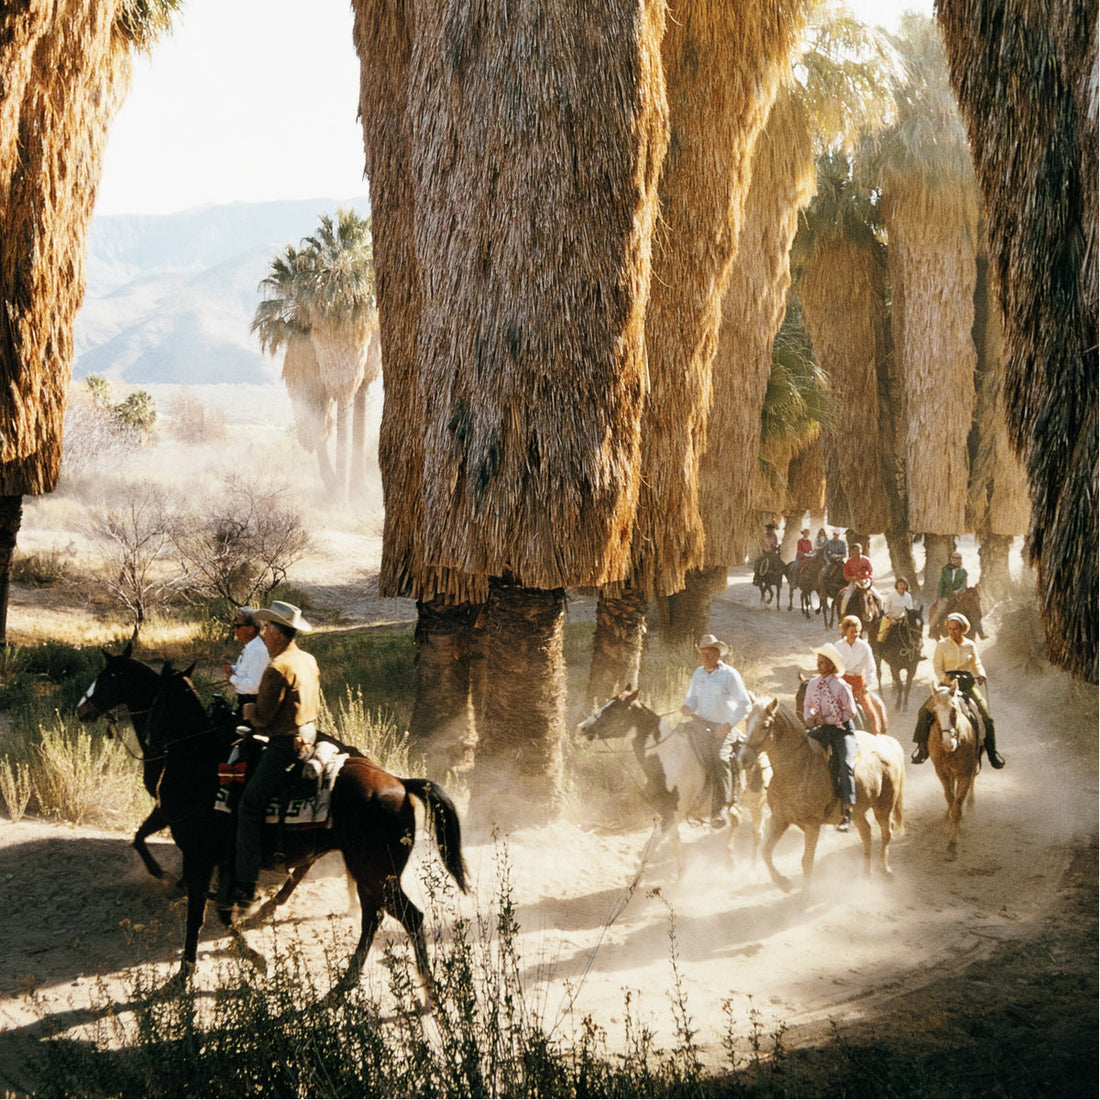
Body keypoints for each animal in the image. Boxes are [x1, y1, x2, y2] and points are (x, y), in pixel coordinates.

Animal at [77, 646, 468, 994]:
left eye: (106, 676)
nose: (82, 710)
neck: (198, 759)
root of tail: (400, 783)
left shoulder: (198, 852)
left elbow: (197, 910)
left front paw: (188, 969)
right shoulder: (223, 857)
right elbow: (217, 907)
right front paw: (250, 954)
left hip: (377, 871)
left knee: (407, 917)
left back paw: (425, 989)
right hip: (369, 870)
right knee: (371, 915)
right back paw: (341, 980)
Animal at [576, 690, 774, 880]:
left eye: (614, 710)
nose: (582, 727)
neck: (668, 757)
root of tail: (758, 750)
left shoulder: (672, 814)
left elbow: (650, 848)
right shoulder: (666, 812)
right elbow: (675, 843)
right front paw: (681, 877)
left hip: (756, 800)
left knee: (758, 832)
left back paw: (752, 869)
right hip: (731, 802)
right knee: (737, 818)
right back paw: (729, 860)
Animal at [734, 695, 906, 893]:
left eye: (765, 725)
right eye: (747, 721)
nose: (742, 759)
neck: (798, 769)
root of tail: (886, 743)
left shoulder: (812, 825)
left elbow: (806, 861)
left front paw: (805, 894)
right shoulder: (780, 819)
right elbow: (766, 851)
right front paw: (784, 882)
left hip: (883, 806)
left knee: (887, 832)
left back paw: (885, 869)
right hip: (857, 813)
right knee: (867, 833)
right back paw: (865, 874)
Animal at [924, 677, 985, 858]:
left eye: (954, 710)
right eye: (934, 712)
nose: (948, 744)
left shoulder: (965, 772)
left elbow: (958, 803)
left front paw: (952, 844)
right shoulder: (942, 772)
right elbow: (950, 798)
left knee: (971, 781)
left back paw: (970, 802)